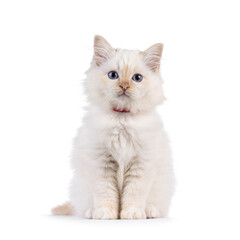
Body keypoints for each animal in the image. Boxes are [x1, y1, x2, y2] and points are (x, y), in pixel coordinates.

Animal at [51, 35, 173, 219]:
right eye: (113, 75)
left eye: (137, 78)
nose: (124, 86)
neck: (122, 119)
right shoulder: (101, 163)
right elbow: (106, 193)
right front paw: (105, 213)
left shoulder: (141, 164)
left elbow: (134, 194)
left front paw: (132, 213)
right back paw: (90, 212)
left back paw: (150, 211)